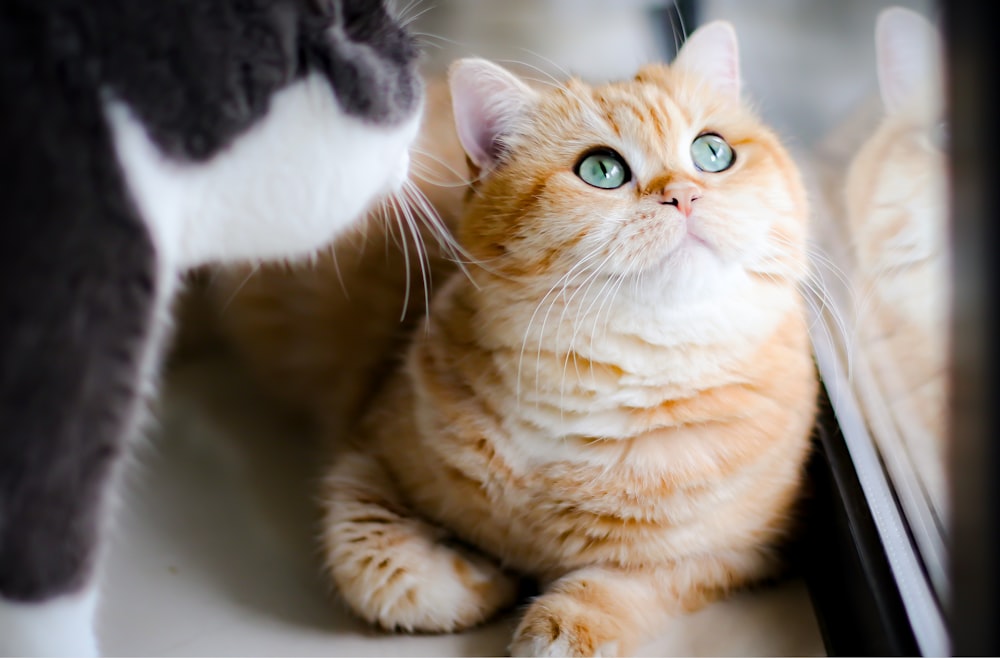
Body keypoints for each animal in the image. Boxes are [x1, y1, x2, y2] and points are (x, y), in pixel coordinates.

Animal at [312, 21, 820, 656]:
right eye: (601, 170)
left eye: (712, 151)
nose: (685, 194)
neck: (605, 385)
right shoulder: (364, 455)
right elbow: (380, 571)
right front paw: (484, 575)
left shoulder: (749, 548)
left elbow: (642, 579)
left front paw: (564, 625)